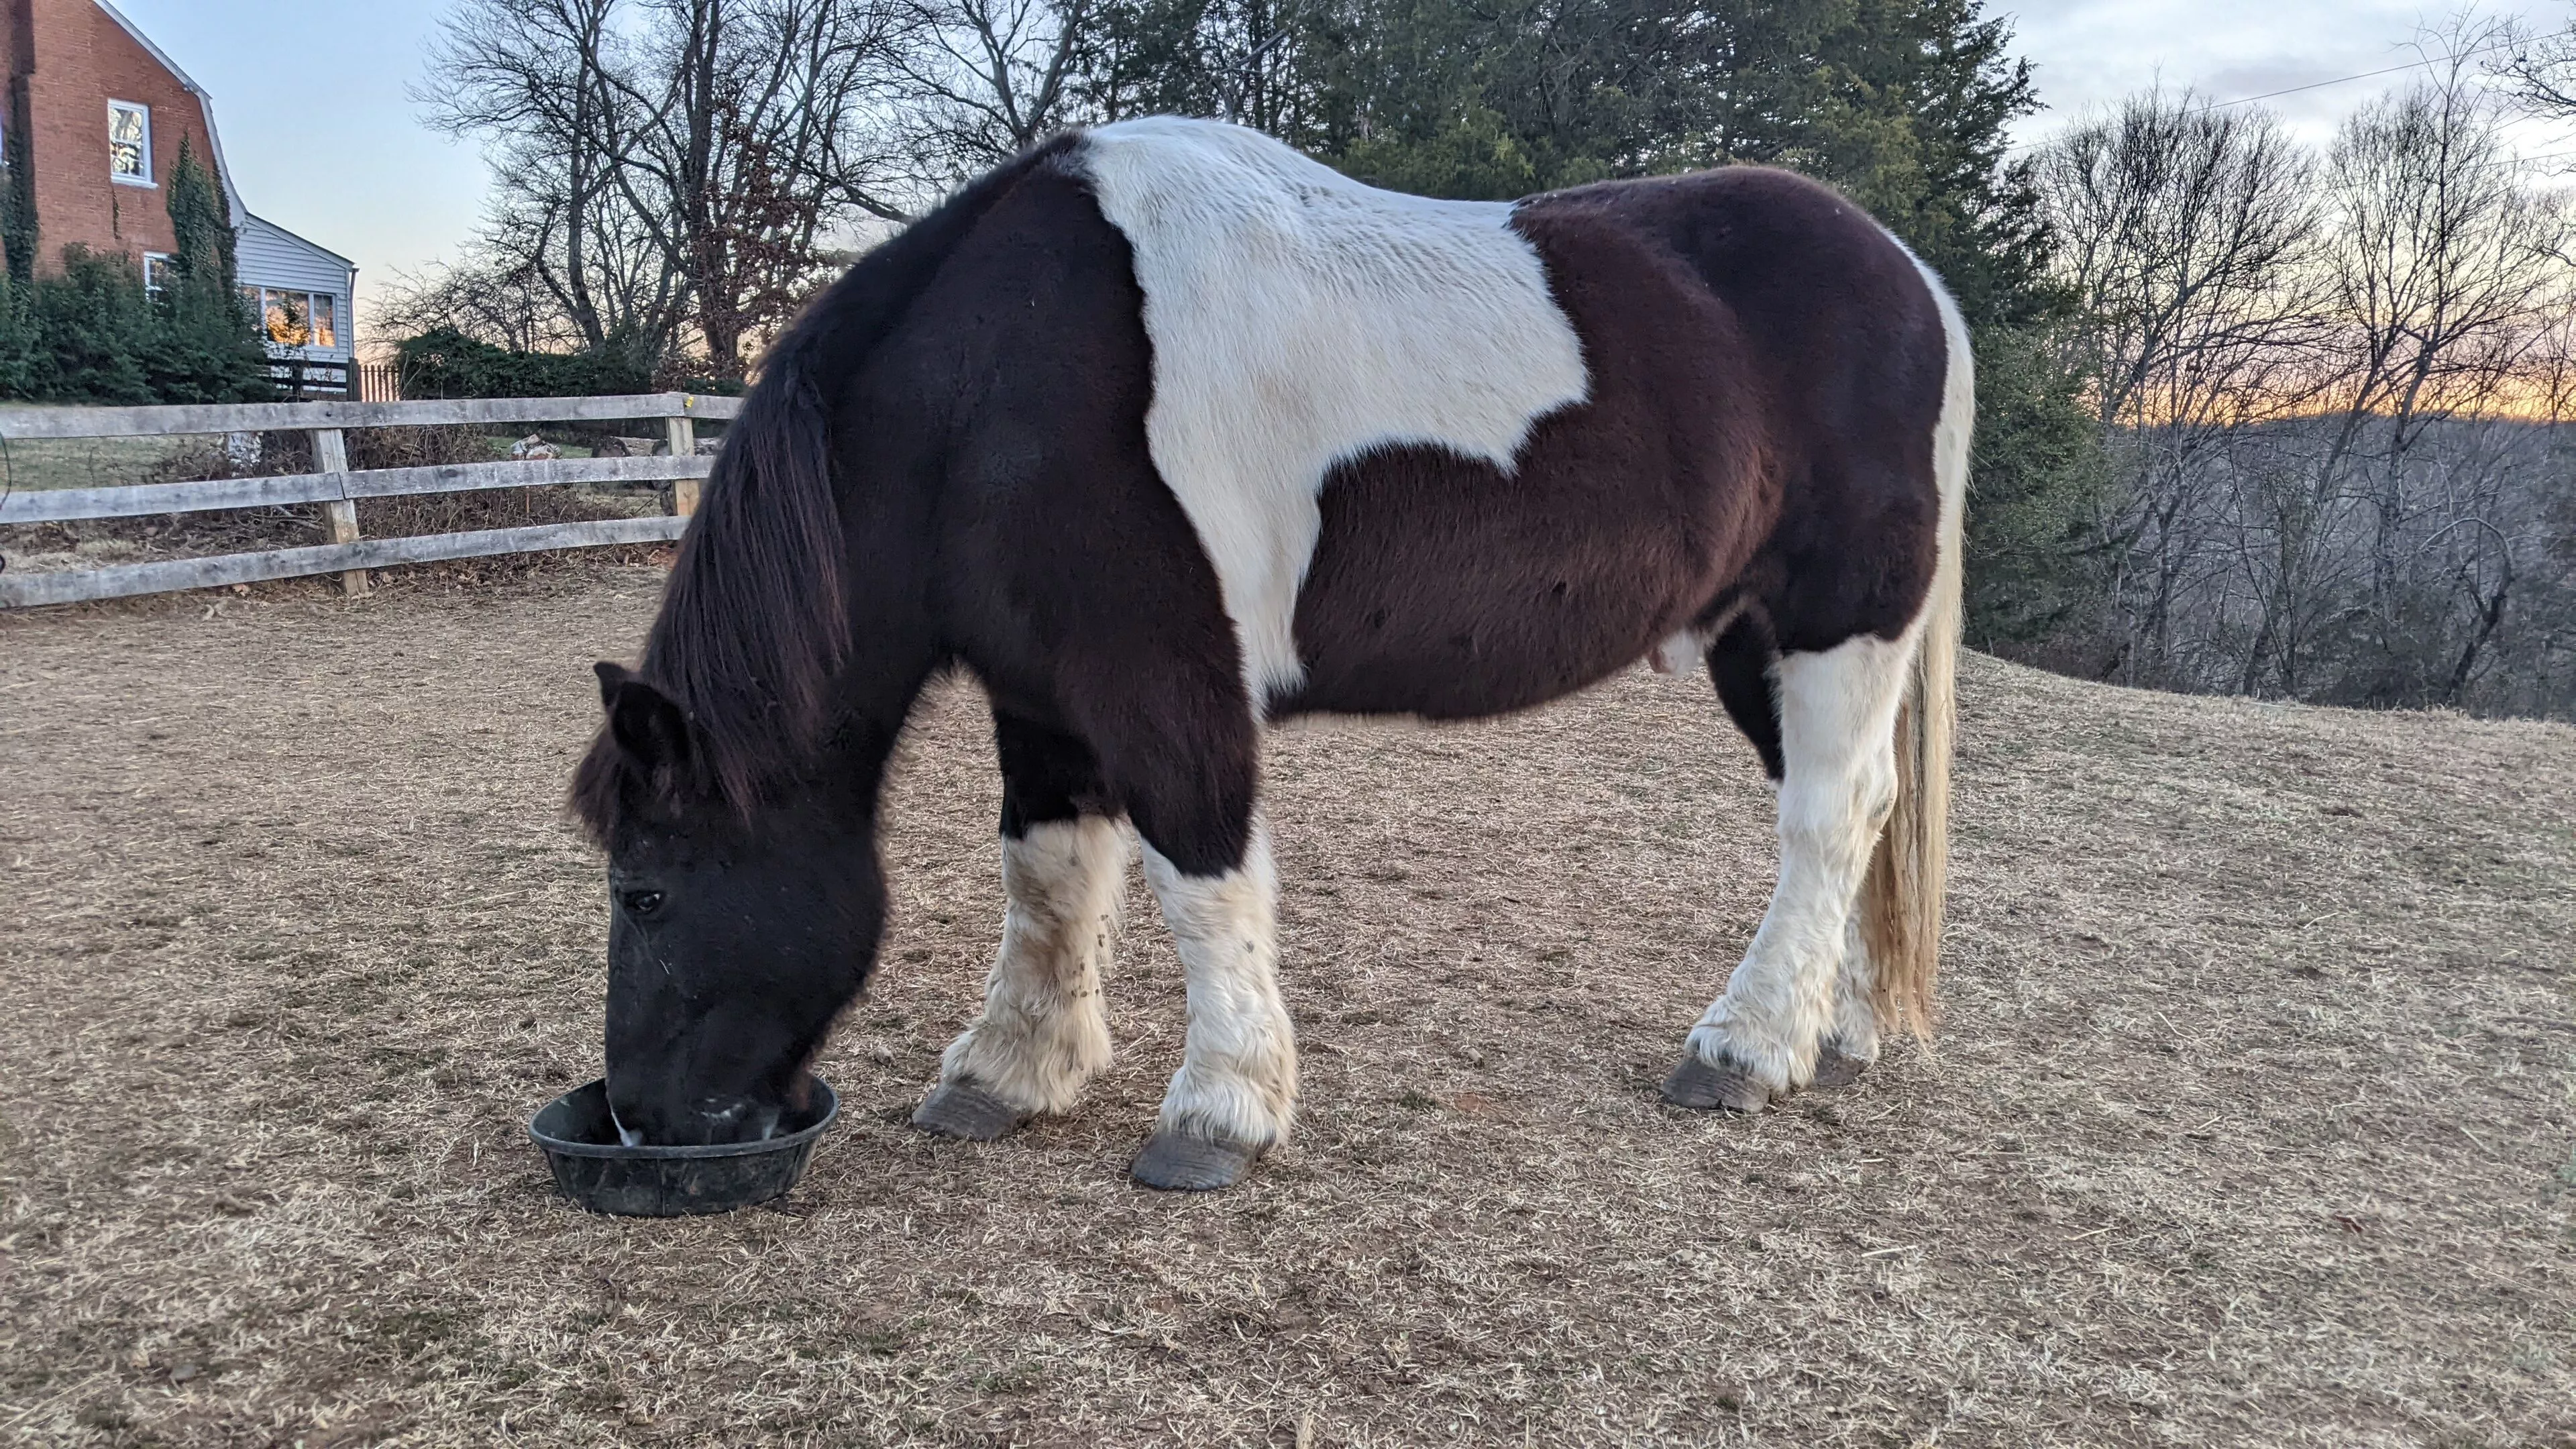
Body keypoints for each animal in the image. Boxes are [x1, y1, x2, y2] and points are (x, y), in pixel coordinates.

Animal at [569, 118, 1968, 1191]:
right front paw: (1014, 1073)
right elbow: (1047, 878)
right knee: (1852, 814)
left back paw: (1747, 1049)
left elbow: (1203, 878)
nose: (642, 1122)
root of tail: (1916, 279)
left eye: (645, 892)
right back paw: (1835, 1030)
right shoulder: (1042, 703)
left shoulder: (1165, 685)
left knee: (1828, 817)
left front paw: (1219, 1111)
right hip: (1756, 644)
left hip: (1839, 621)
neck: (997, 379)